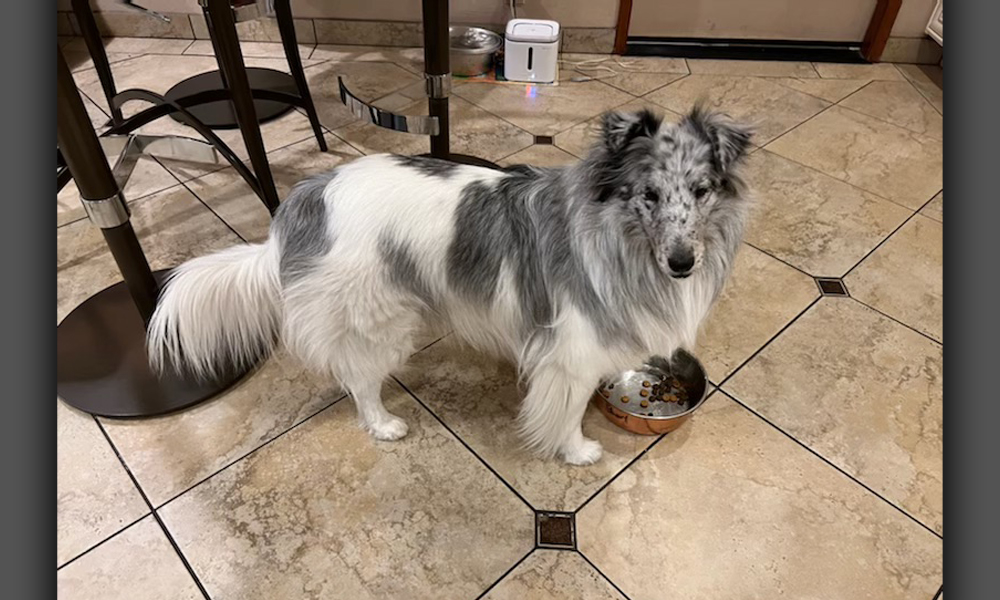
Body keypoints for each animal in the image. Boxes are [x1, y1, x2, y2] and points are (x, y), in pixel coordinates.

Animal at [146, 105, 752, 466]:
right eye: (648, 195)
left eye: (701, 191)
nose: (683, 264)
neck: (616, 235)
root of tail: (297, 209)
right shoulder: (571, 355)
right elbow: (568, 411)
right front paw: (577, 451)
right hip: (380, 320)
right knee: (358, 379)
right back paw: (383, 424)